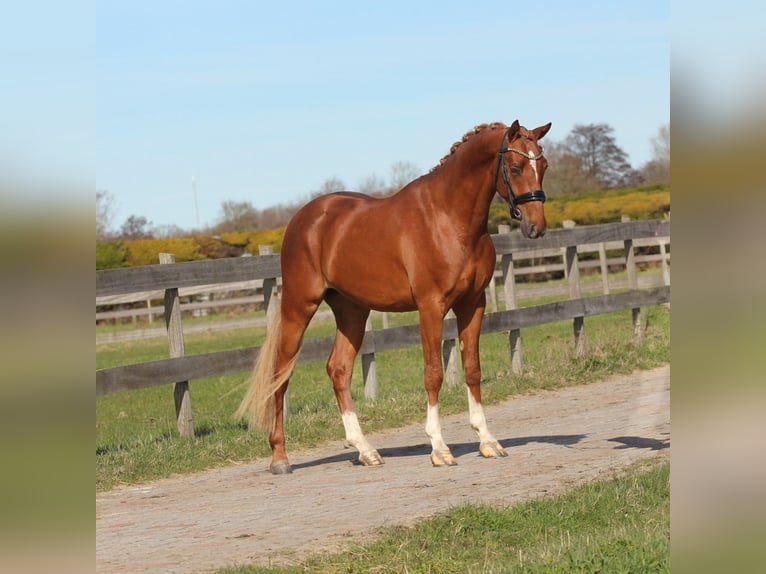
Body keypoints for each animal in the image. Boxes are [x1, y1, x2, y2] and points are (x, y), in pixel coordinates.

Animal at [236, 120, 551, 474]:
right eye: (515, 167)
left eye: (543, 165)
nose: (536, 226)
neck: (449, 218)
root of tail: (303, 219)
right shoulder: (431, 307)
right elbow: (433, 373)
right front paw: (439, 449)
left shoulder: (473, 305)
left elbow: (472, 369)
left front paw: (488, 441)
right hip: (298, 306)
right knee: (281, 374)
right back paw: (280, 457)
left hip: (352, 312)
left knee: (338, 369)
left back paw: (365, 450)